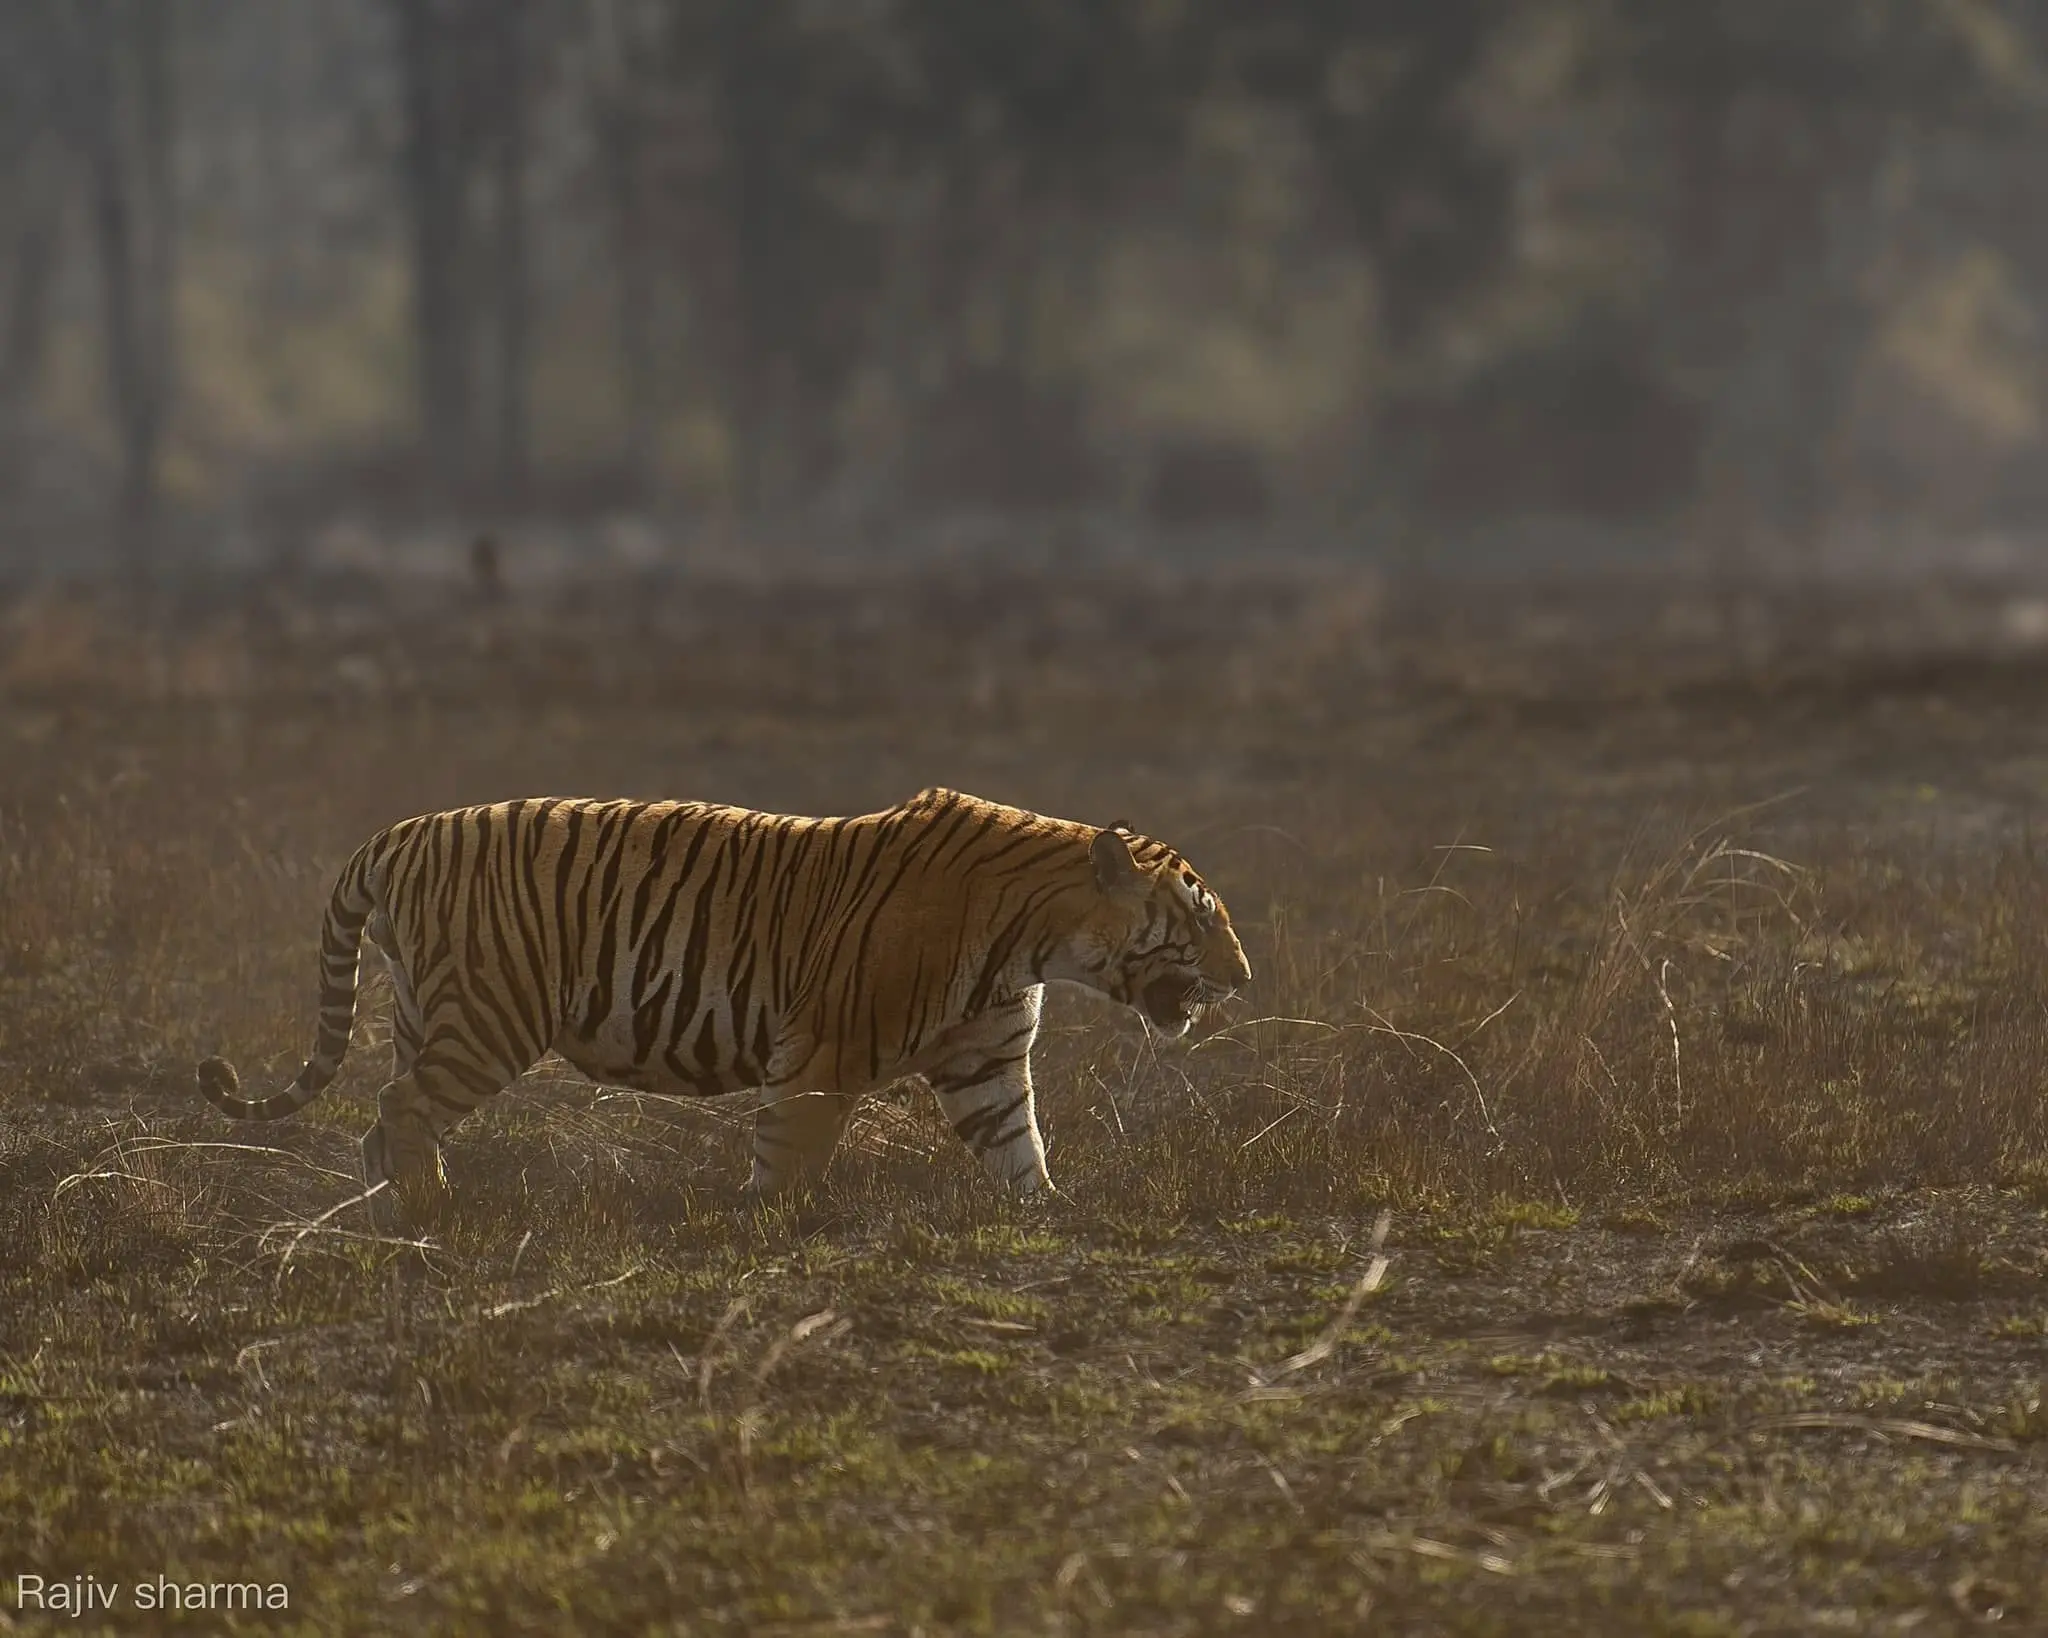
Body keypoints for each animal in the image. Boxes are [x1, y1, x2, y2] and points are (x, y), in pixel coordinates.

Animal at [195, 786, 1245, 1220]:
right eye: (1201, 917)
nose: (1243, 978)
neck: (1038, 936)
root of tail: (401, 831)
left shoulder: (983, 1059)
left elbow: (1019, 1147)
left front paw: (1053, 1213)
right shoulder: (824, 1052)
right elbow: (791, 1146)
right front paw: (766, 1218)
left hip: (428, 1012)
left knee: (384, 1118)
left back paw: (386, 1213)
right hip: (488, 1019)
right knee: (399, 1107)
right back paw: (431, 1208)